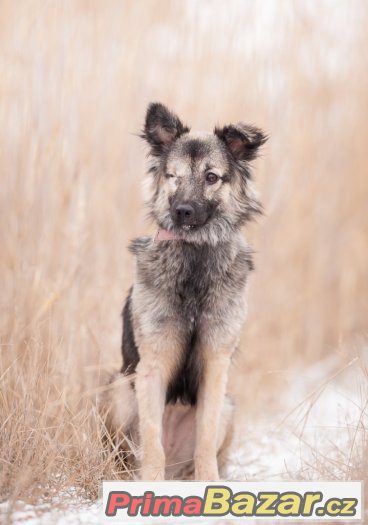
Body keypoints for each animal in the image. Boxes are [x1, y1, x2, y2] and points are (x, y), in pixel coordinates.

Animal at [101, 102, 268, 478]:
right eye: (173, 176)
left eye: (211, 177)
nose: (182, 211)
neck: (194, 262)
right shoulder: (152, 365)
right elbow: (152, 442)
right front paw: (150, 481)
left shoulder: (215, 364)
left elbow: (204, 441)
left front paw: (210, 482)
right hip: (118, 387)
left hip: (228, 404)